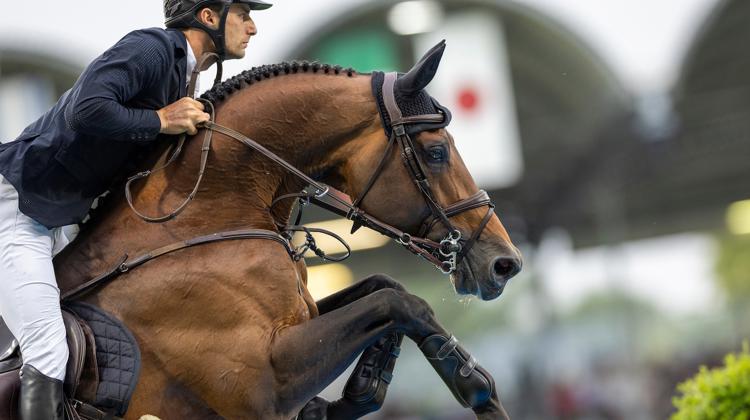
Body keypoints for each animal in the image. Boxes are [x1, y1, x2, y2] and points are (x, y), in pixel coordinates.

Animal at [53, 41, 524, 418]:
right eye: (437, 152)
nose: (506, 264)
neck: (198, 220)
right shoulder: (267, 384)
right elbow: (403, 302)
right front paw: (477, 391)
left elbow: (385, 288)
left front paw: (378, 379)